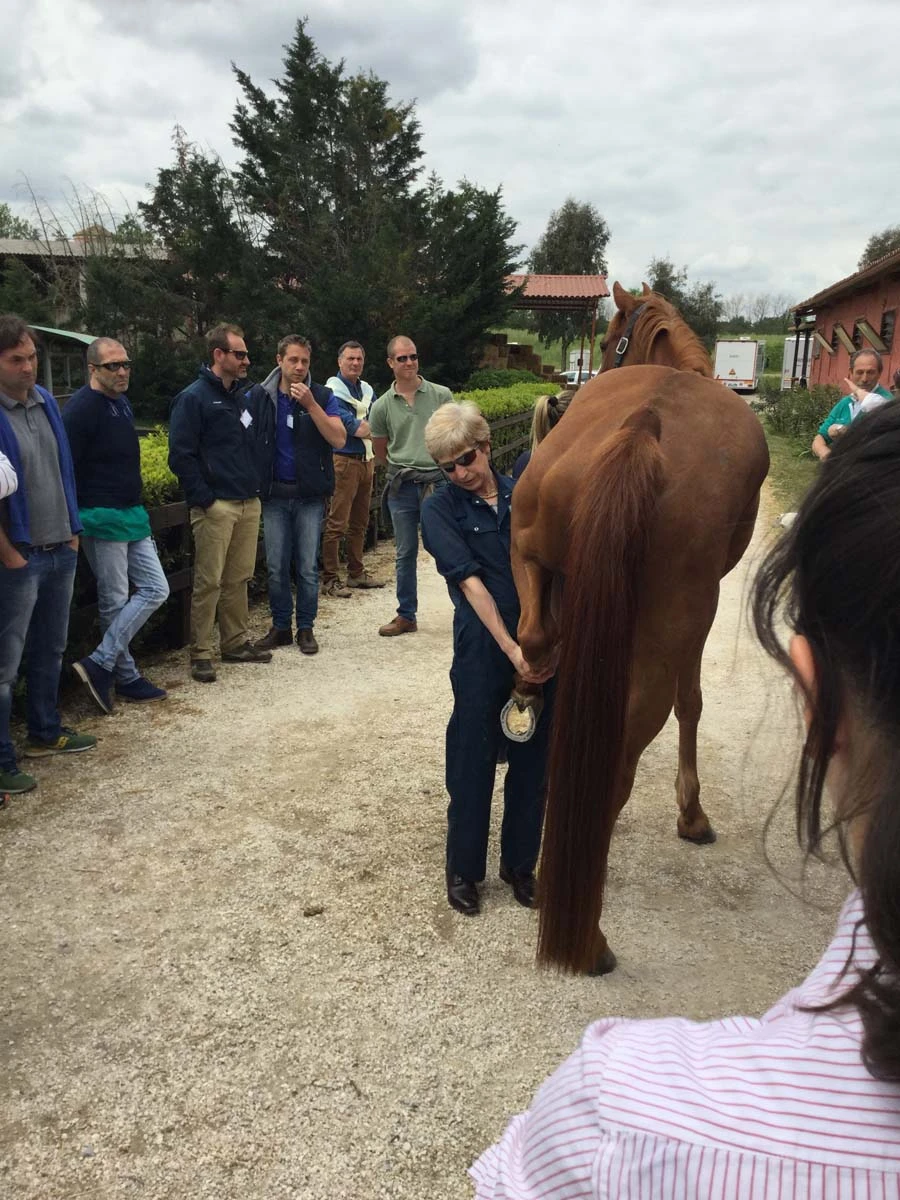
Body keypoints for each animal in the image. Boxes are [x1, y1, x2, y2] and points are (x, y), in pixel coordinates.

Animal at [510, 282, 770, 975]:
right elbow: (692, 702)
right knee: (627, 745)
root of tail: (643, 426)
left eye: (606, 340)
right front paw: (692, 815)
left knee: (536, 642)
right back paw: (586, 931)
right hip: (671, 623)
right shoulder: (693, 627)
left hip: (532, 552)